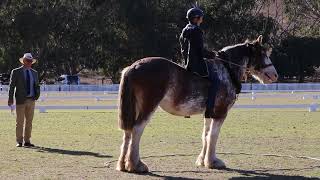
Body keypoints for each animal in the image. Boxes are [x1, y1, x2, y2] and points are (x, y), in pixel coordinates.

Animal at [115, 35, 278, 173]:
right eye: (263, 53)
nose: (275, 75)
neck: (227, 69)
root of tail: (134, 67)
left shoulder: (209, 113)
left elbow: (205, 135)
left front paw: (202, 161)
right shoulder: (220, 113)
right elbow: (213, 136)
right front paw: (212, 162)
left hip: (134, 107)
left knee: (128, 131)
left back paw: (123, 164)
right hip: (148, 106)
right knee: (137, 130)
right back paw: (136, 164)